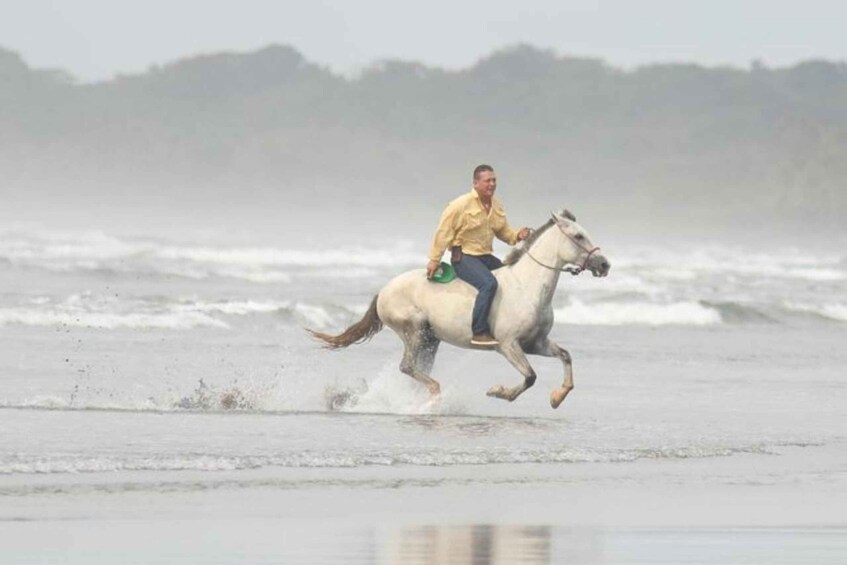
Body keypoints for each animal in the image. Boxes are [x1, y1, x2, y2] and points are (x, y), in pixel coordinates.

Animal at [308, 209, 612, 408]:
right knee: (407, 366)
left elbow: (566, 357)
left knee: (416, 369)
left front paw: (557, 397)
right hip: (415, 330)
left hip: (431, 339)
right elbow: (530, 377)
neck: (527, 288)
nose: (605, 264)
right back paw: (434, 396)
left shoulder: (535, 343)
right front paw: (498, 392)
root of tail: (383, 291)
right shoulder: (508, 345)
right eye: (579, 236)